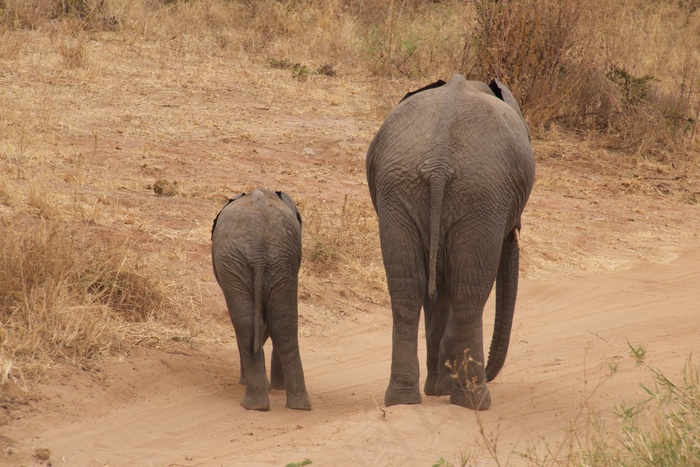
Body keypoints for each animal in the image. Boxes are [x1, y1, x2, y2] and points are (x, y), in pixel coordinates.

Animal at [211, 188, 312, 412]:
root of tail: (258, 247)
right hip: (275, 260)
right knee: (281, 324)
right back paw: (295, 406)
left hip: (244, 262)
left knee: (250, 324)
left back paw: (255, 403)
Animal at [366, 74, 536, 410]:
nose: (490, 372)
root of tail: (438, 162)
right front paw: (444, 387)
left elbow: (435, 292)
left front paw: (437, 388)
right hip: (481, 196)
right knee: (468, 292)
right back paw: (474, 401)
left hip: (399, 191)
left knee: (406, 289)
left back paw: (403, 400)